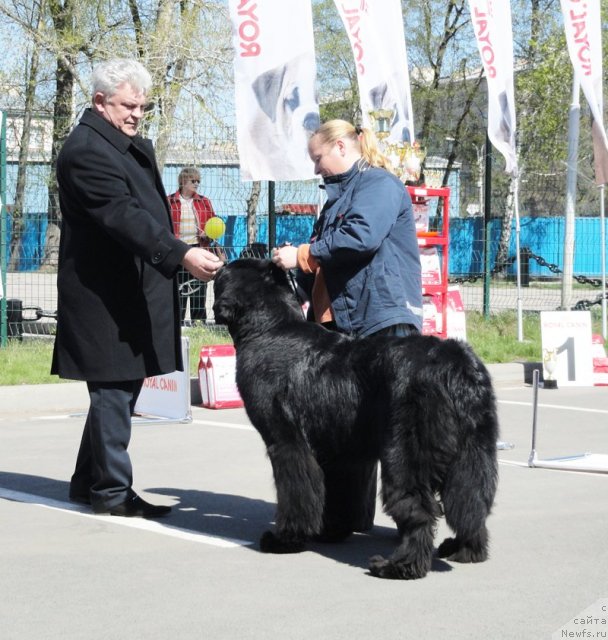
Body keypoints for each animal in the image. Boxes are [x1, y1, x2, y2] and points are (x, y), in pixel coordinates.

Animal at [214, 258, 498, 576]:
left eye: (220, 275)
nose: (216, 266)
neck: (270, 327)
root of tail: (455, 364)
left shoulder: (286, 442)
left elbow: (296, 492)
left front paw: (286, 539)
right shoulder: (340, 450)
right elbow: (338, 491)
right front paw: (330, 532)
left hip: (406, 453)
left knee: (420, 510)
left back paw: (399, 566)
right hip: (474, 451)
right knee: (471, 501)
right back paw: (464, 550)